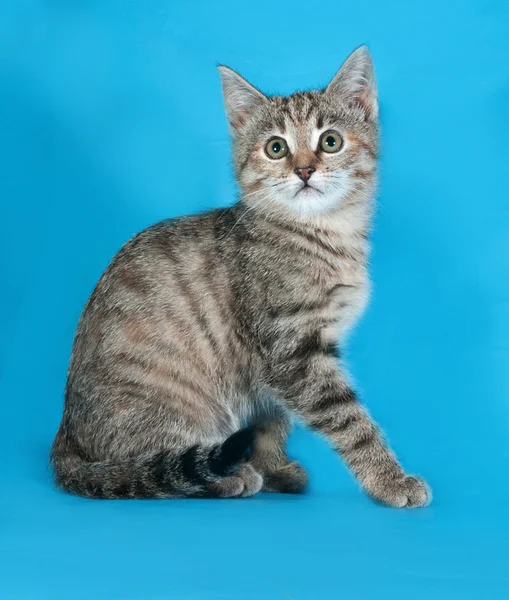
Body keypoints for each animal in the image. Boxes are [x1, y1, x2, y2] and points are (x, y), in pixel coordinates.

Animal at [51, 47, 430, 506]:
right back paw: (223, 478)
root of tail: (66, 434)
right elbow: (349, 421)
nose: (304, 170)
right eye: (276, 148)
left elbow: (272, 419)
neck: (324, 235)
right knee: (149, 469)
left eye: (331, 141)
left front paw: (274, 467)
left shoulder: (279, 363)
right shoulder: (292, 351)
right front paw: (390, 480)